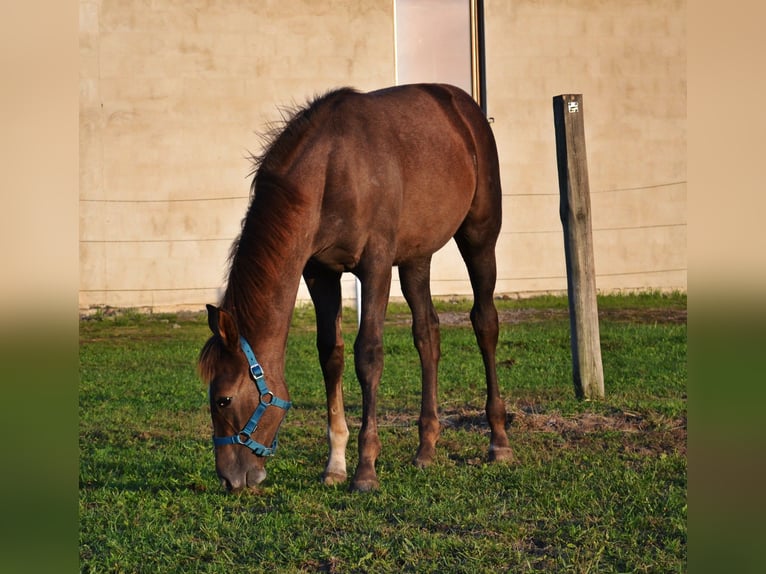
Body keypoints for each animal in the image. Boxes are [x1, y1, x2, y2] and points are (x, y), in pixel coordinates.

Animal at [201, 83, 516, 492]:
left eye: (223, 400)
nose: (229, 477)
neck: (332, 169)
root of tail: (465, 106)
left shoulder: (376, 266)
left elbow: (368, 354)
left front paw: (366, 469)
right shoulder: (319, 272)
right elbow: (330, 354)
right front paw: (335, 465)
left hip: (479, 236)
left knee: (485, 322)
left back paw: (499, 442)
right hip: (416, 259)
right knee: (427, 334)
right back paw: (425, 450)